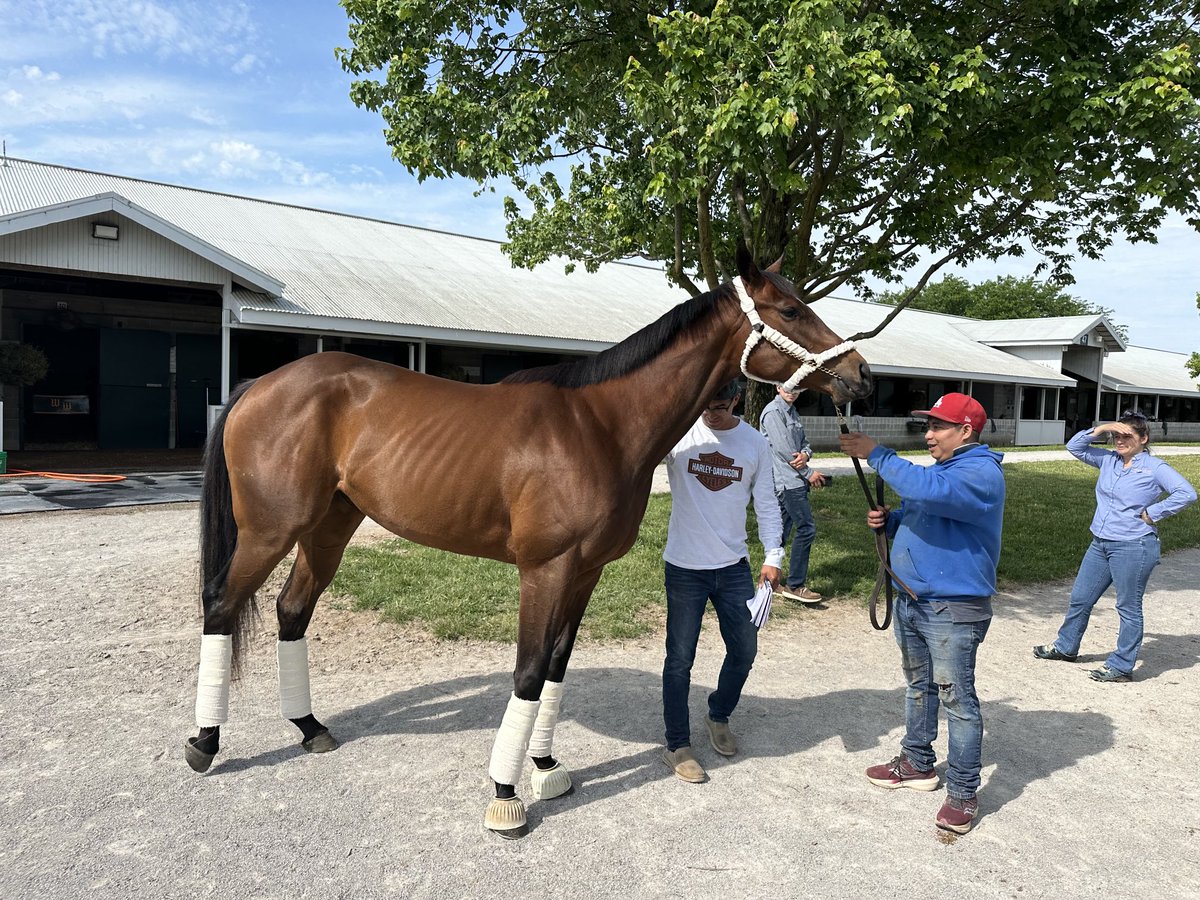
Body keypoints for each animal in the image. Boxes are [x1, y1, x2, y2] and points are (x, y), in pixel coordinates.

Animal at [189, 244, 873, 840]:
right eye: (790, 310)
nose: (861, 375)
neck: (600, 427)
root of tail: (259, 386)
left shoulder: (586, 572)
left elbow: (556, 665)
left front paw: (546, 769)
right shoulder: (545, 569)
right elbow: (526, 669)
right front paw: (505, 795)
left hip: (329, 527)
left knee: (291, 611)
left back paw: (309, 728)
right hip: (270, 531)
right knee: (222, 606)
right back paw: (204, 743)